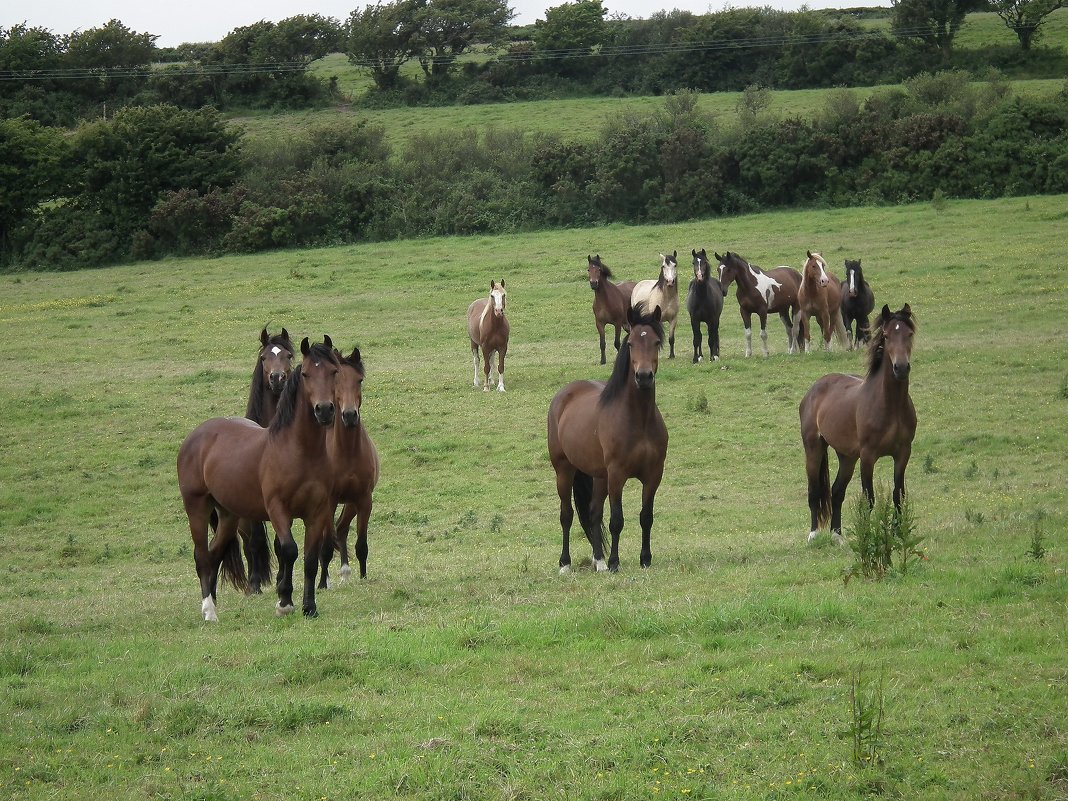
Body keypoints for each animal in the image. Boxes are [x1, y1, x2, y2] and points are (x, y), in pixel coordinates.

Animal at [177, 337, 339, 619]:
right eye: (306, 374)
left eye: (333, 372)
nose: (324, 410)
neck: (298, 451)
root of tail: (196, 436)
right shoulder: (277, 510)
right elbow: (289, 550)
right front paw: (284, 602)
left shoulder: (317, 512)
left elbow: (310, 559)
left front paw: (309, 607)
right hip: (197, 508)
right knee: (201, 556)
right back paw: (209, 611)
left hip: (229, 515)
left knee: (213, 554)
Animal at [316, 346, 380, 589]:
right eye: (336, 380)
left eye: (359, 380)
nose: (350, 415)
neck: (348, 453)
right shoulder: (329, 501)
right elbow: (325, 548)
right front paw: (321, 585)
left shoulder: (364, 499)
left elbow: (361, 545)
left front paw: (363, 576)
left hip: (351, 502)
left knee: (342, 528)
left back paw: (345, 571)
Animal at [551, 303, 666, 572]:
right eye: (631, 343)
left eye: (656, 342)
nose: (643, 376)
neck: (639, 420)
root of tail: (564, 395)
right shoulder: (617, 475)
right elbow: (616, 520)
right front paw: (615, 562)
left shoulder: (653, 475)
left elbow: (646, 517)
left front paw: (645, 559)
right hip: (565, 470)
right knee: (566, 515)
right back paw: (565, 563)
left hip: (599, 475)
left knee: (593, 511)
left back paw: (599, 560)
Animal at [803, 305, 918, 546]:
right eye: (886, 335)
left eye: (909, 334)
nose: (901, 368)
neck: (890, 406)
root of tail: (814, 389)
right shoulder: (868, 456)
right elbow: (869, 499)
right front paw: (868, 534)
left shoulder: (903, 453)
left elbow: (898, 494)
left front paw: (898, 533)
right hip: (814, 448)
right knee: (814, 491)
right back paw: (813, 534)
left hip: (847, 457)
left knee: (837, 491)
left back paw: (837, 535)